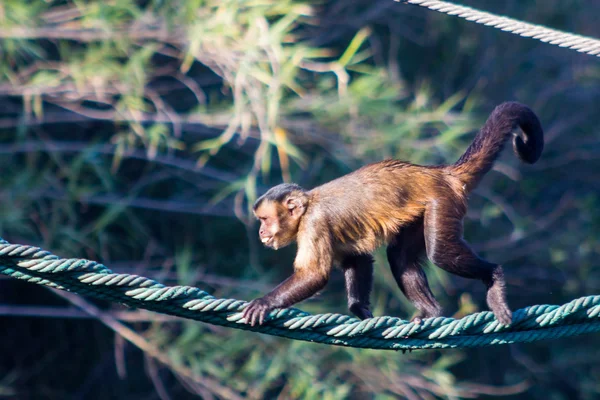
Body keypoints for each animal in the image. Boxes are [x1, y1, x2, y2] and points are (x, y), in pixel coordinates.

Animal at [243, 103, 544, 328]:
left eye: (264, 220)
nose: (260, 232)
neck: (307, 207)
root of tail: (440, 173)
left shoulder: (314, 224)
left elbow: (314, 275)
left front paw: (264, 302)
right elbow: (357, 260)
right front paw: (361, 311)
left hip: (441, 202)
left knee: (440, 254)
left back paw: (493, 278)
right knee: (400, 256)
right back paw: (431, 313)